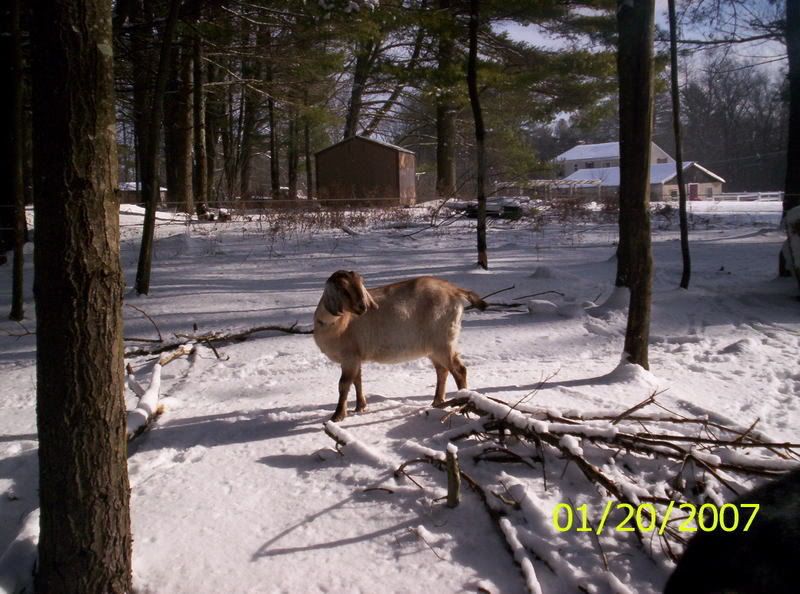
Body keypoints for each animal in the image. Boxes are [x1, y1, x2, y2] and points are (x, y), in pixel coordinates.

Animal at [313, 270, 487, 421]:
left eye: (358, 285)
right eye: (343, 289)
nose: (363, 307)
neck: (336, 324)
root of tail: (455, 291)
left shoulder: (349, 357)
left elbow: (343, 384)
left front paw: (337, 416)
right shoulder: (356, 357)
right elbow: (357, 380)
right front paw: (360, 407)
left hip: (443, 343)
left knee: (459, 370)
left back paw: (462, 401)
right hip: (433, 347)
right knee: (442, 370)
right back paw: (437, 402)